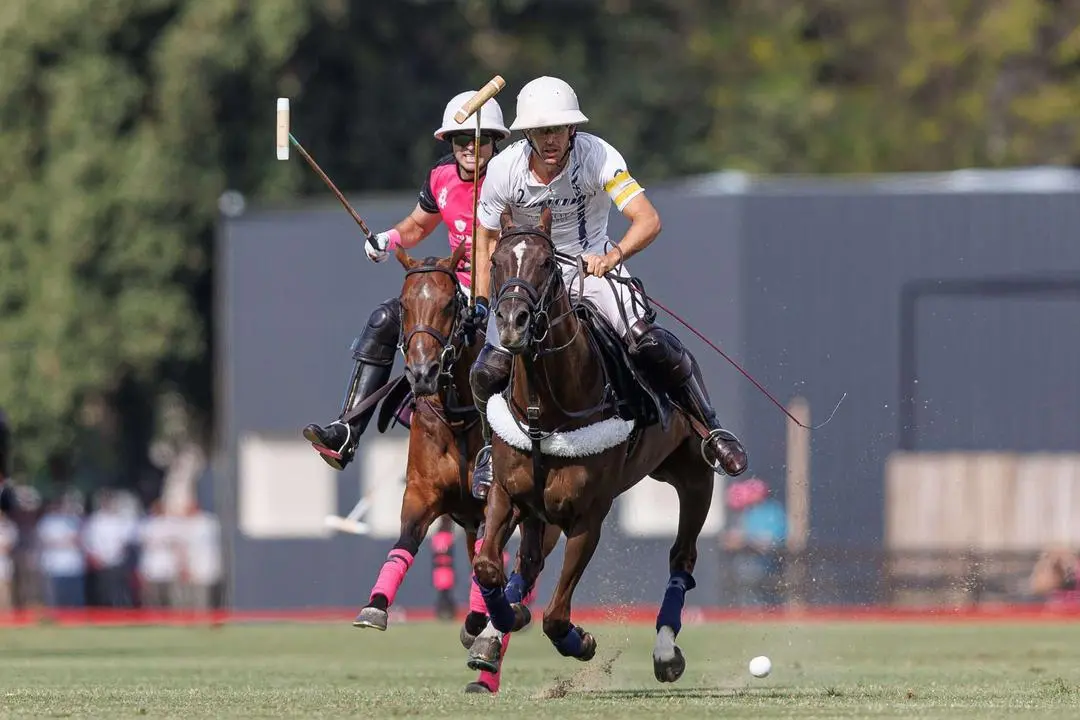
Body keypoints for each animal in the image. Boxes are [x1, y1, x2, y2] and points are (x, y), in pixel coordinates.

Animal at [470, 207, 708, 682]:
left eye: (547, 264)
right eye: (496, 262)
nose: (511, 323)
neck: (545, 413)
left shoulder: (588, 516)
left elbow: (556, 615)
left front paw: (579, 641)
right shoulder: (508, 494)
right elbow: (487, 567)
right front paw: (503, 621)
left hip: (695, 476)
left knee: (682, 557)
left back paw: (666, 651)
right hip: (543, 509)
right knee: (528, 563)